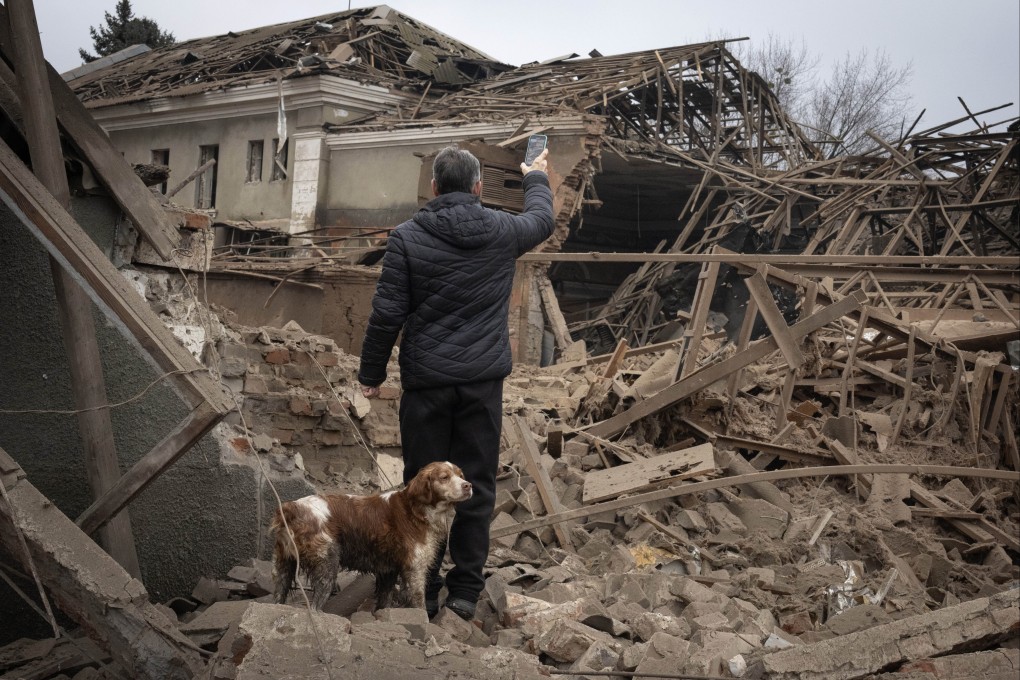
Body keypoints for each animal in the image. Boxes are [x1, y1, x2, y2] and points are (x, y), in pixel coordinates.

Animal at [269, 462, 471, 611]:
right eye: (444, 477)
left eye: (460, 475)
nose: (468, 485)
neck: (416, 510)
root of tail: (290, 508)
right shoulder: (414, 570)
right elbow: (420, 607)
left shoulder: (388, 570)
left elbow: (384, 602)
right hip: (327, 565)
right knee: (315, 607)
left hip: (282, 567)